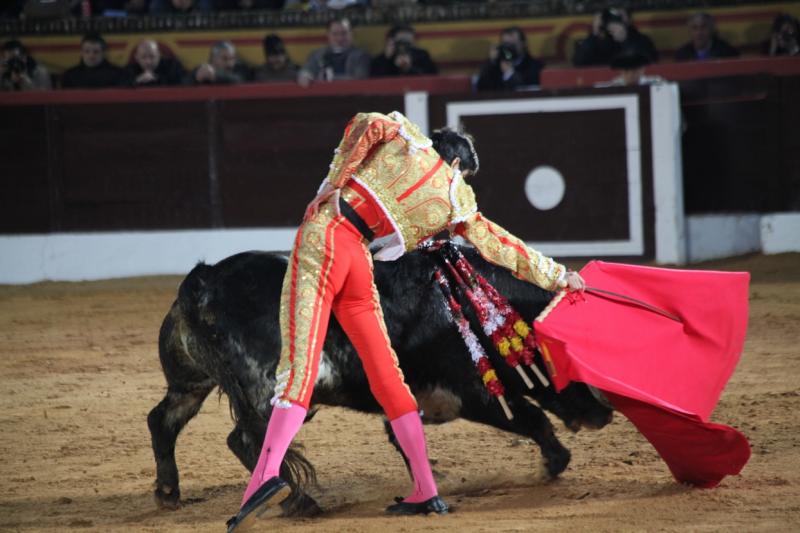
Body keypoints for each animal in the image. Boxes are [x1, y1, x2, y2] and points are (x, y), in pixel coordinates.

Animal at [148, 247, 612, 512]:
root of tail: (205, 281)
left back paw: (168, 493)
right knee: (248, 440)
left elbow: (404, 439)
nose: (604, 415)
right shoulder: (472, 392)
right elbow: (530, 417)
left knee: (163, 419)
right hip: (272, 390)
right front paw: (556, 461)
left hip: (190, 382)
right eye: (568, 362)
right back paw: (301, 501)